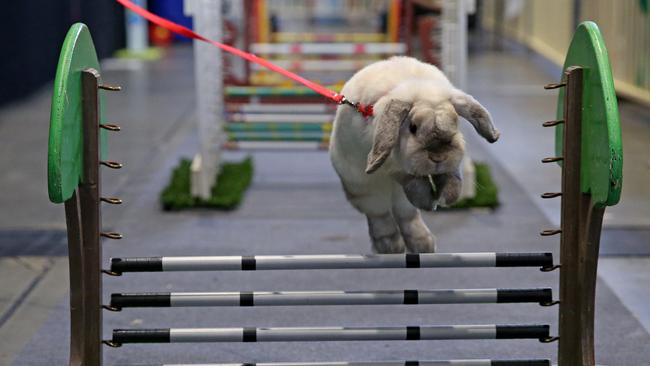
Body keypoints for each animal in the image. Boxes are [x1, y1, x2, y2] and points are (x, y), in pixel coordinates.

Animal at [330, 55, 496, 254]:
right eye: (413, 128)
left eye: (455, 123)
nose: (438, 158)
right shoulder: (394, 167)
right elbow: (411, 179)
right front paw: (430, 200)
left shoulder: (451, 165)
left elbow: (452, 176)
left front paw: (448, 195)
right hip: (364, 188)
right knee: (380, 214)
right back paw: (391, 246)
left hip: (397, 198)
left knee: (406, 215)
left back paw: (423, 245)